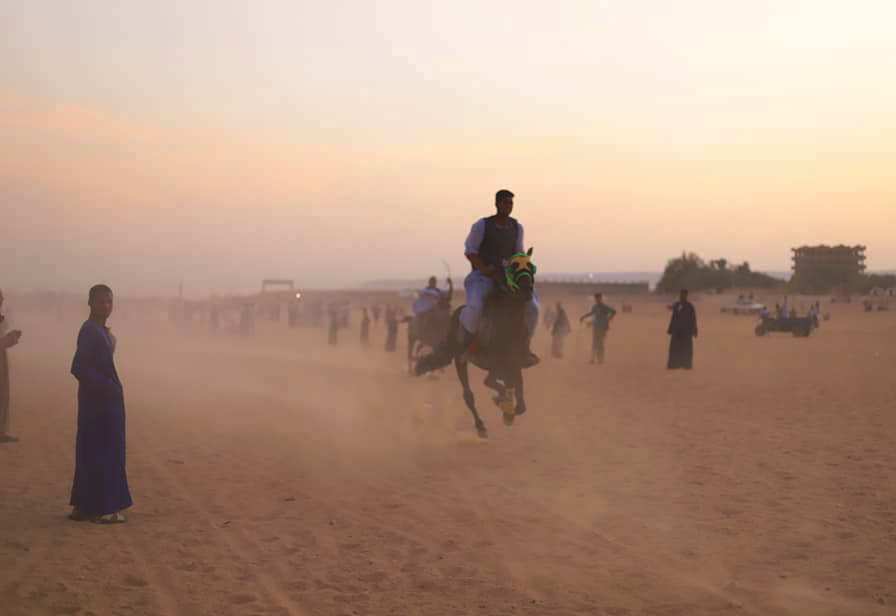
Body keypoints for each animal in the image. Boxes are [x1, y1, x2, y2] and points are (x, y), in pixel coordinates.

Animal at [414, 250, 536, 438]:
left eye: (531, 266)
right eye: (513, 267)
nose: (527, 290)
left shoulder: (514, 363)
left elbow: (520, 400)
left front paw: (508, 411)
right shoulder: (496, 364)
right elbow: (493, 384)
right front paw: (501, 402)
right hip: (460, 360)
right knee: (468, 394)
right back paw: (481, 426)